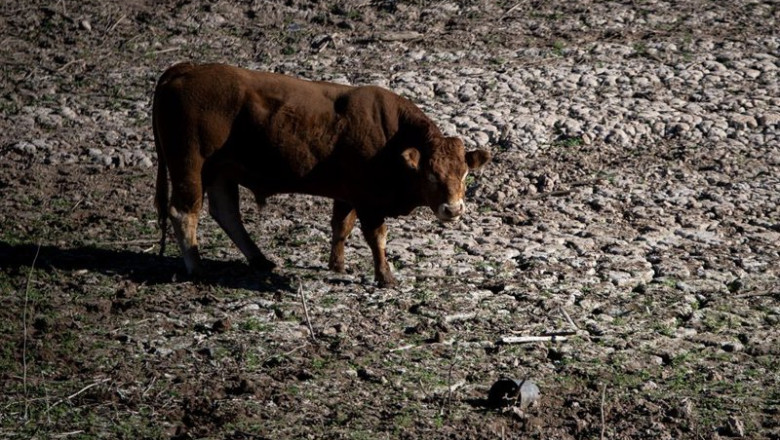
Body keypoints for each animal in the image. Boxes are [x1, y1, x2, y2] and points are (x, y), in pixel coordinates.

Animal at [153, 62, 490, 287]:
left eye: (463, 174)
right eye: (431, 175)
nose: (453, 209)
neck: (391, 137)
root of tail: (183, 70)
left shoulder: (347, 194)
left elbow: (341, 226)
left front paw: (337, 265)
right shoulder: (368, 200)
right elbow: (377, 237)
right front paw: (385, 276)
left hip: (221, 171)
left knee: (226, 212)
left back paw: (260, 259)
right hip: (190, 164)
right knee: (183, 211)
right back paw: (197, 267)